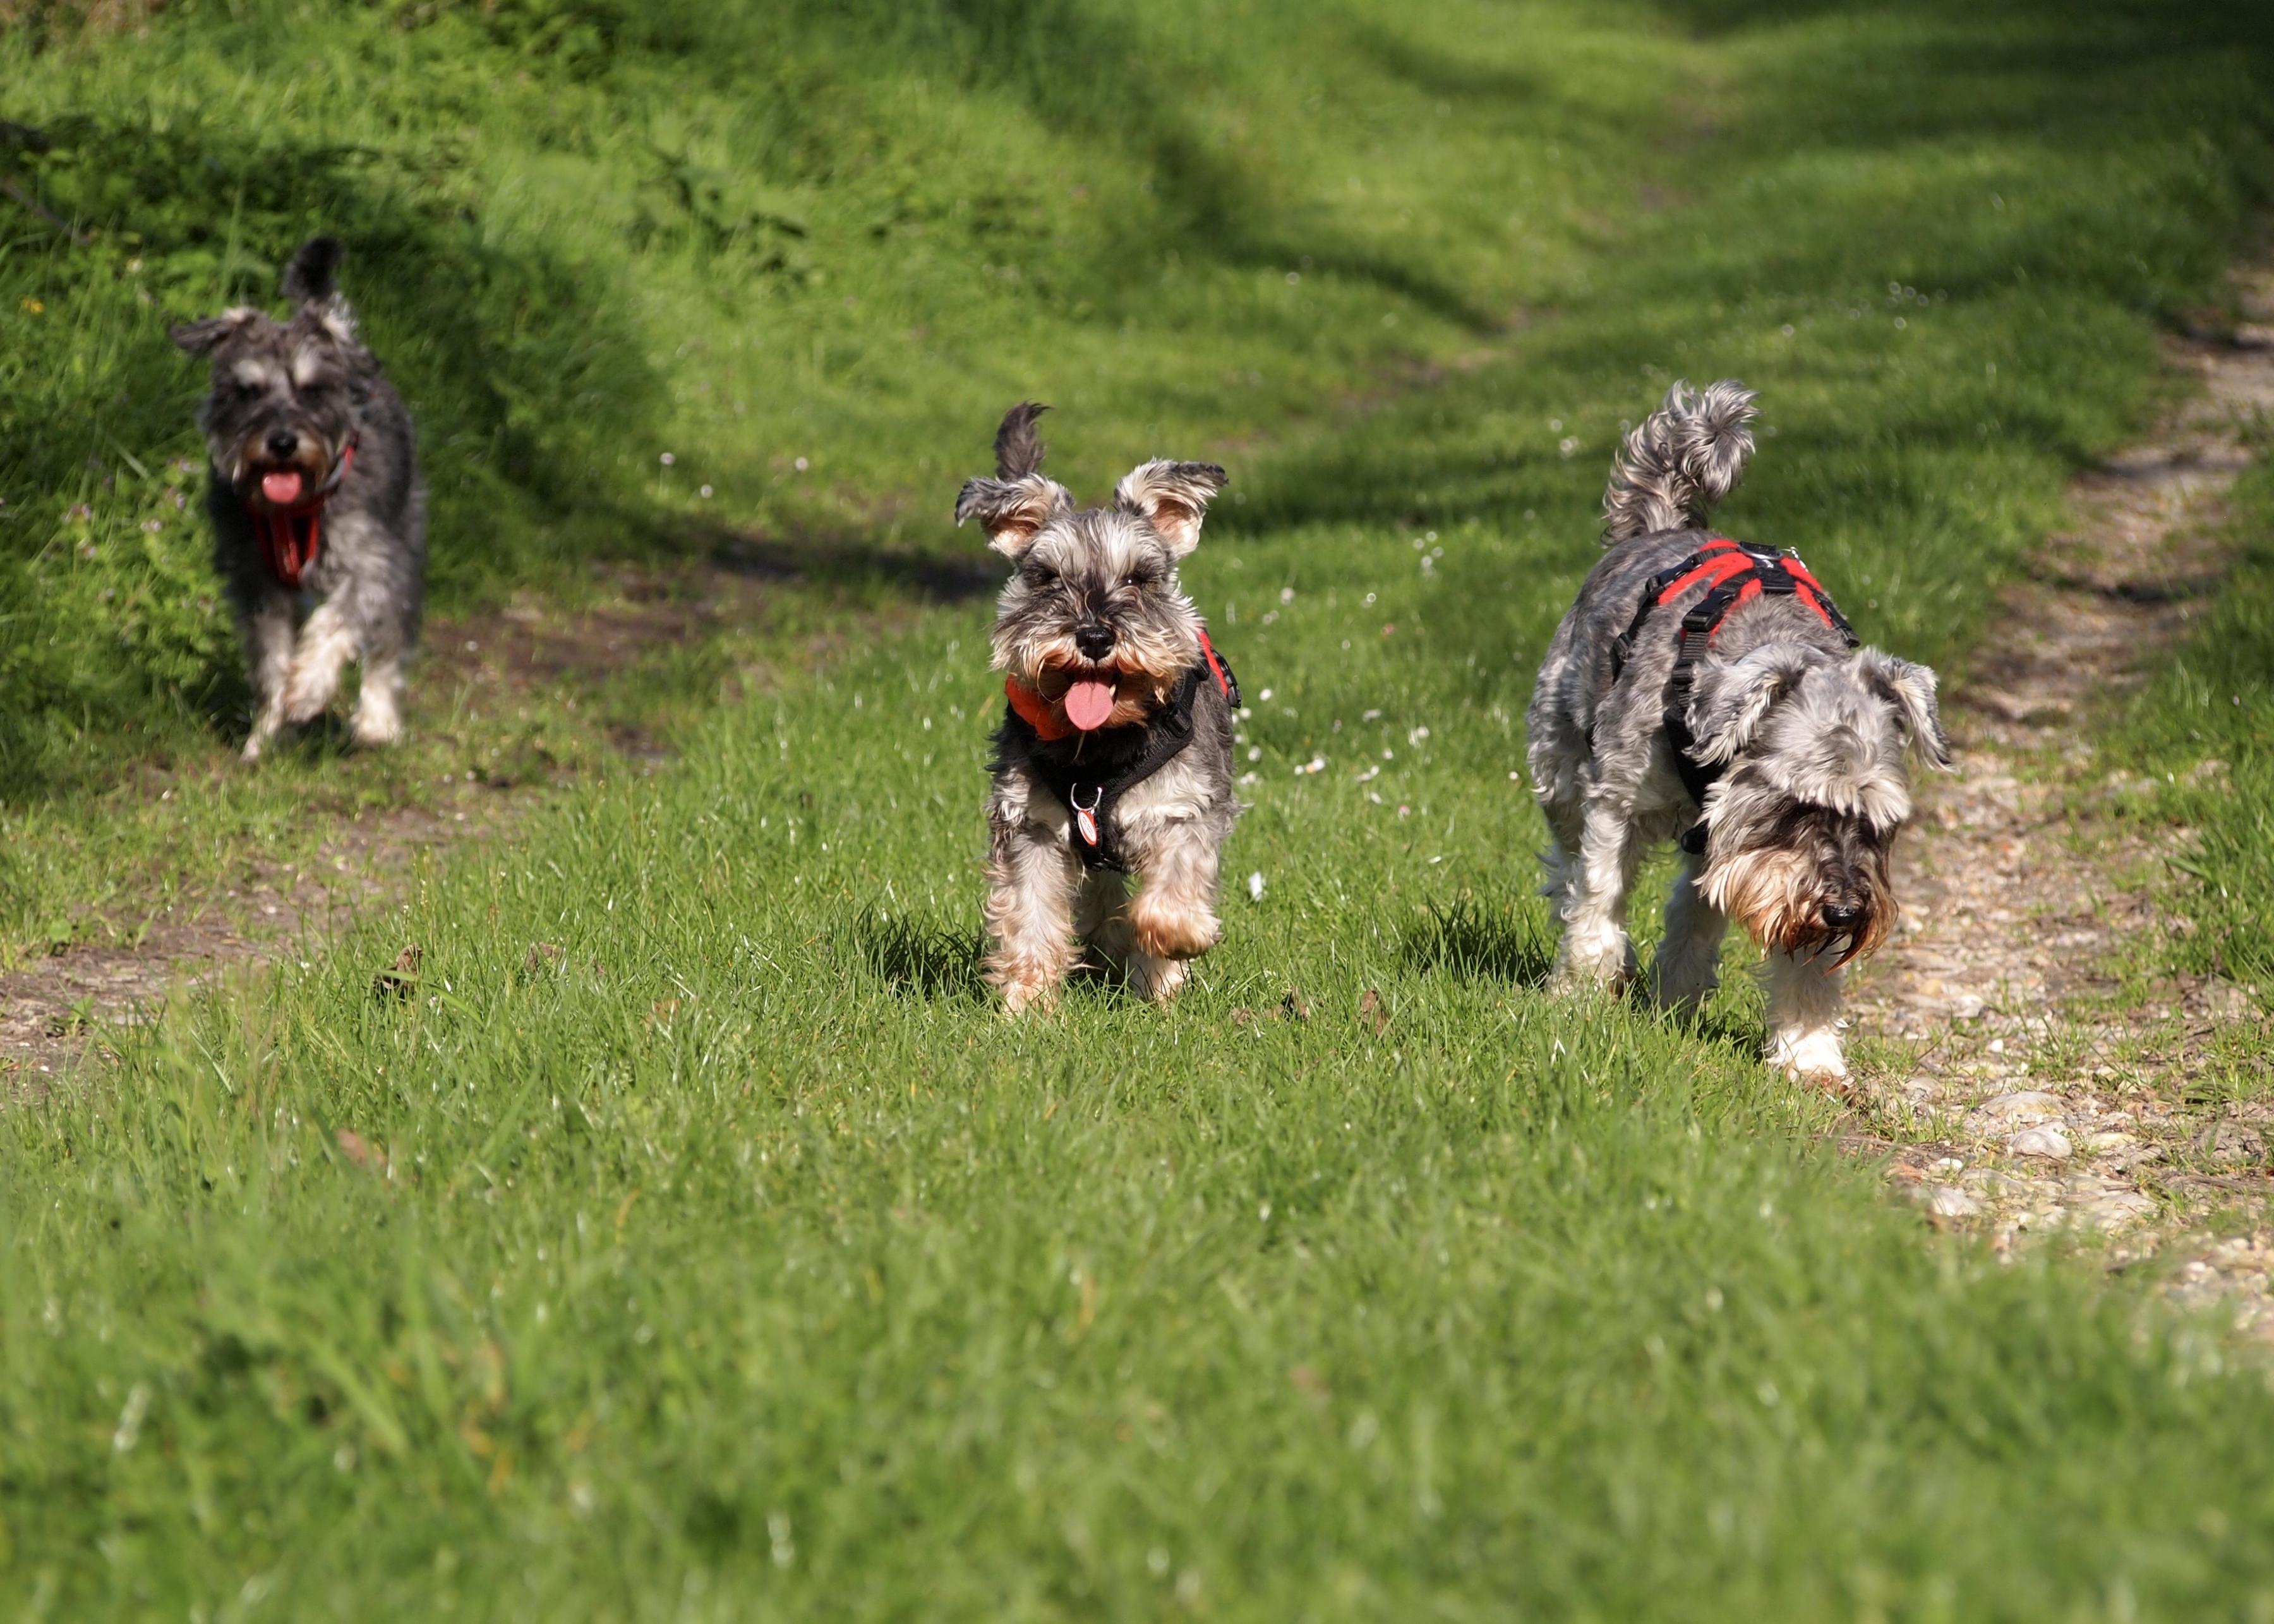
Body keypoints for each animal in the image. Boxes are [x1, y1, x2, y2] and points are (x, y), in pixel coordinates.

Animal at [168, 232, 427, 759]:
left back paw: (378, 721)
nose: (283, 442)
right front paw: (265, 737)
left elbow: (334, 625)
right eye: (248, 390)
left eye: (313, 390)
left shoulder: (369, 564)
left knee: (391, 640)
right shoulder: (257, 583)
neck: (295, 504)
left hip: (404, 544)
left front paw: (307, 688)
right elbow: (270, 661)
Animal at [960, 402, 1246, 1009]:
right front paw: (1026, 1003)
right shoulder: (1032, 826)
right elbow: (1031, 915)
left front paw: (1180, 944)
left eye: (1139, 577)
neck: (1101, 743)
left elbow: (1166, 903)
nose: (1093, 636)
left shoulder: (1185, 810)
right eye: (1047, 577)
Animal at [1519, 380, 1946, 1083]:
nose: (1847, 912)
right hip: (1559, 767)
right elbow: (1600, 895)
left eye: (1879, 822)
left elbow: (1783, 954)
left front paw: (1809, 1054)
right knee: (1568, 862)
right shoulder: (1617, 804)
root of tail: (1661, 528)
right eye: (1798, 804)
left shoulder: (1745, 847)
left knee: (1689, 914)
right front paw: (1580, 995)